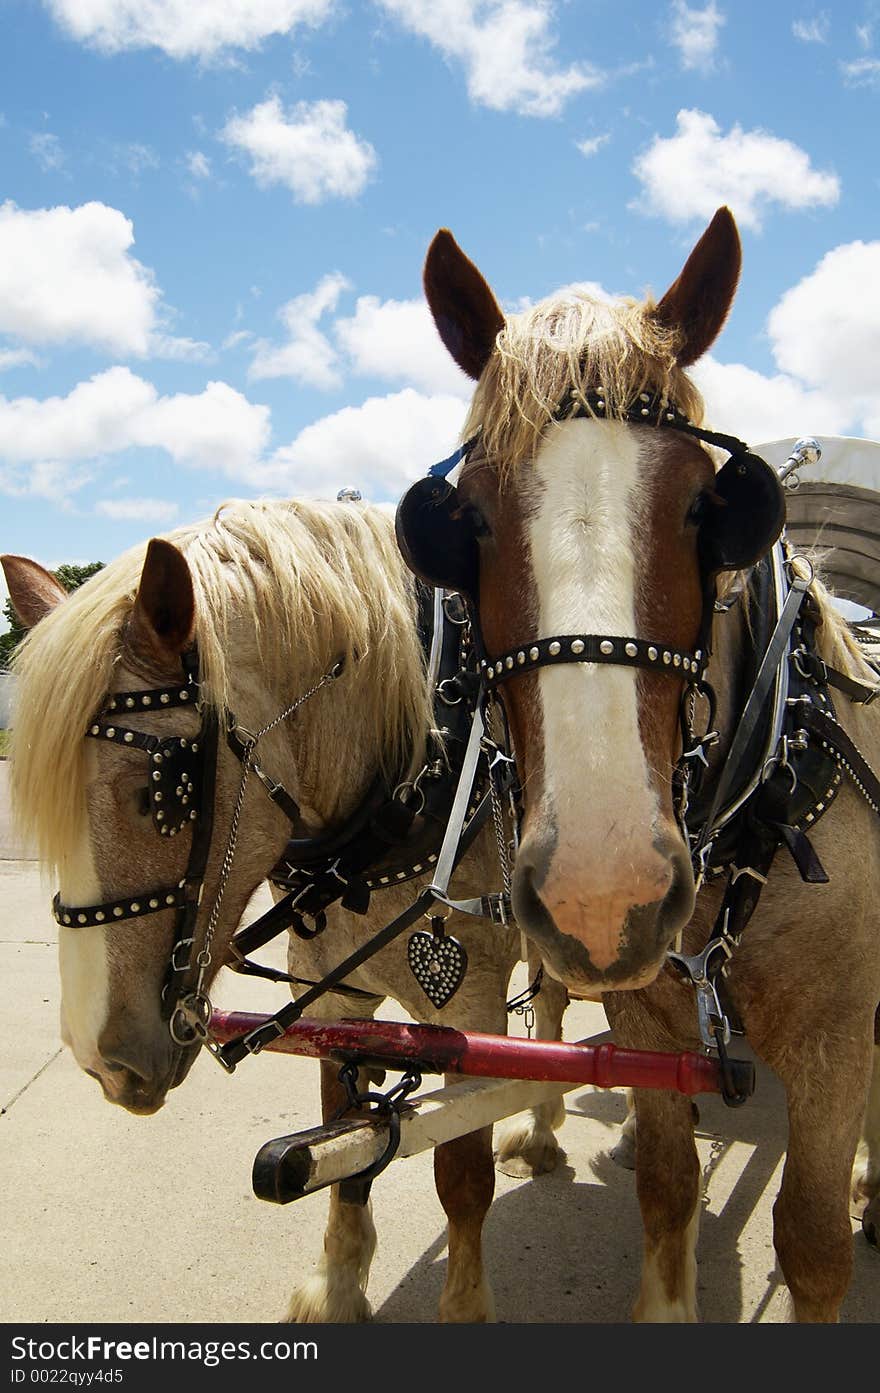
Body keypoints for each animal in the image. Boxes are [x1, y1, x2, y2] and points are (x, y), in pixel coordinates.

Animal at [406, 208, 880, 1326]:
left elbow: (812, 1242)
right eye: (460, 520)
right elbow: (668, 1189)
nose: (602, 889)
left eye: (712, 508)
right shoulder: (650, 1012)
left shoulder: (839, 1029)